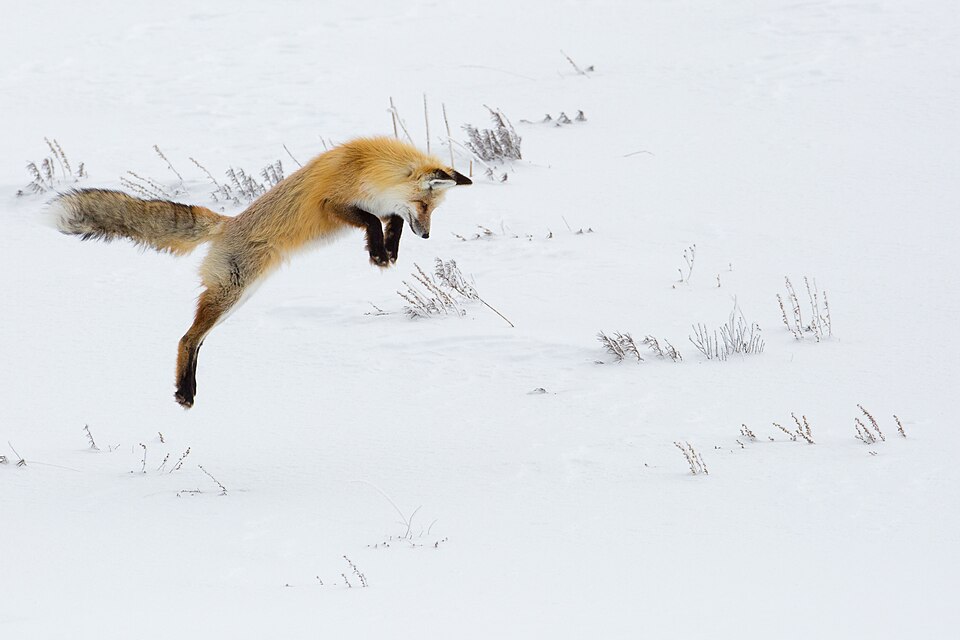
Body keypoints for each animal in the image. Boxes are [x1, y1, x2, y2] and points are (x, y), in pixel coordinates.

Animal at [51, 136, 472, 409]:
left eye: (434, 210)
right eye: (424, 205)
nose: (427, 234)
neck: (369, 167)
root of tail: (226, 223)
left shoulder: (383, 206)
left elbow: (390, 221)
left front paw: (388, 252)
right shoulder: (332, 204)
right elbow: (370, 219)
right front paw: (379, 253)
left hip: (238, 298)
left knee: (197, 340)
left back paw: (187, 390)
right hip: (232, 292)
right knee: (187, 338)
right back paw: (185, 392)